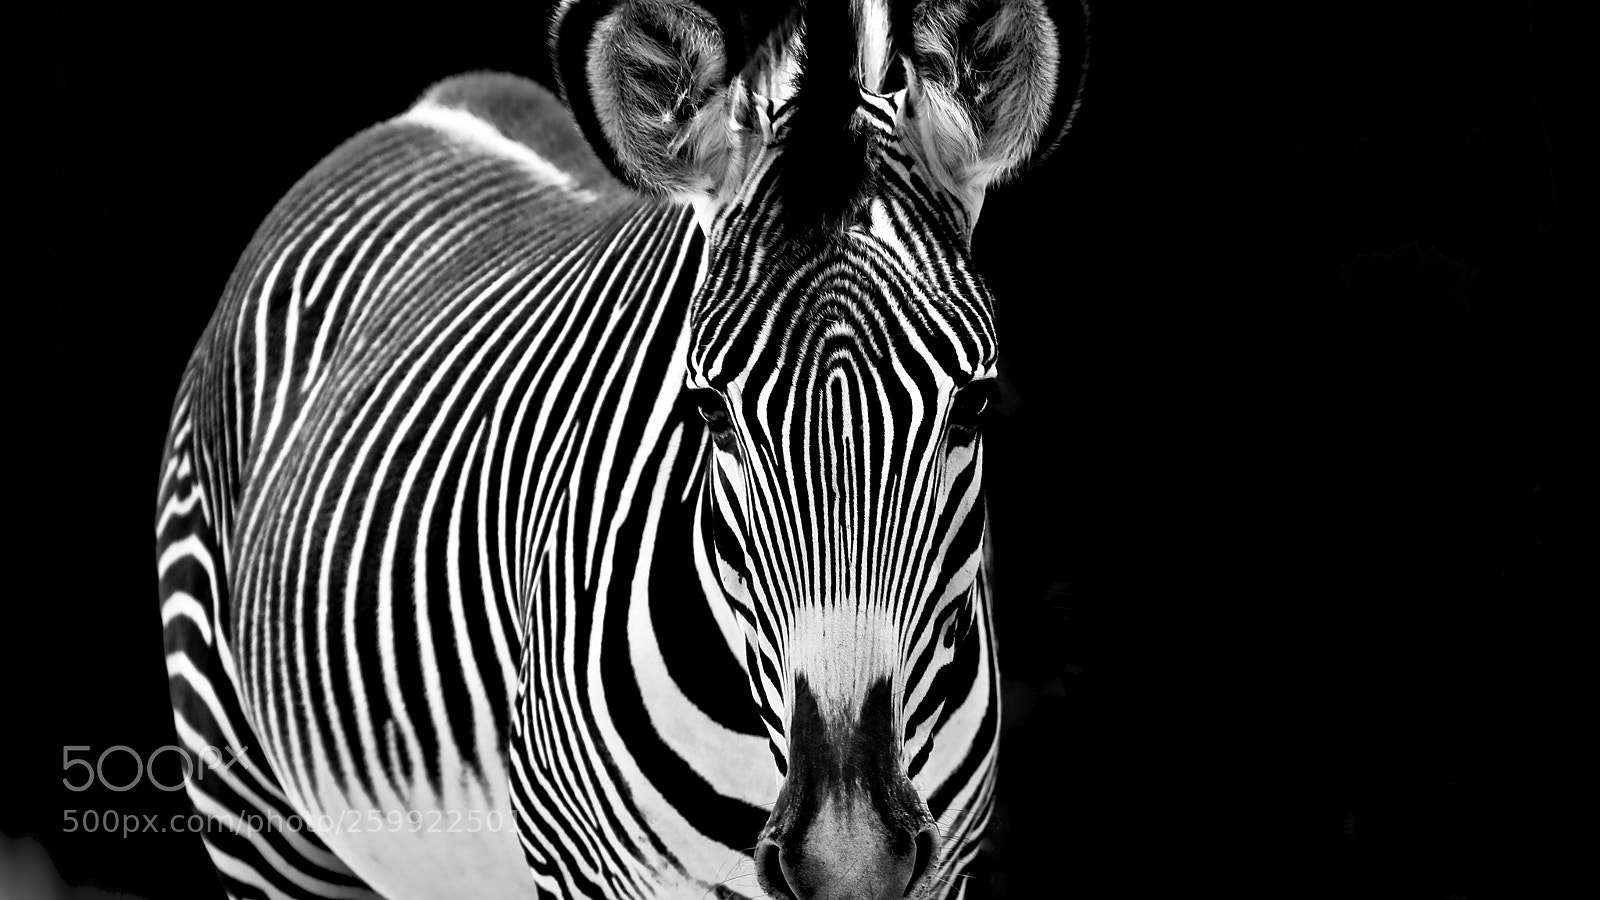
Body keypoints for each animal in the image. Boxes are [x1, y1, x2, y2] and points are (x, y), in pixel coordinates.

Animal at [153, 1, 1088, 898]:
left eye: (973, 405)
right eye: (709, 410)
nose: (847, 863)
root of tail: (430, 108)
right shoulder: (573, 864)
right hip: (255, 817)